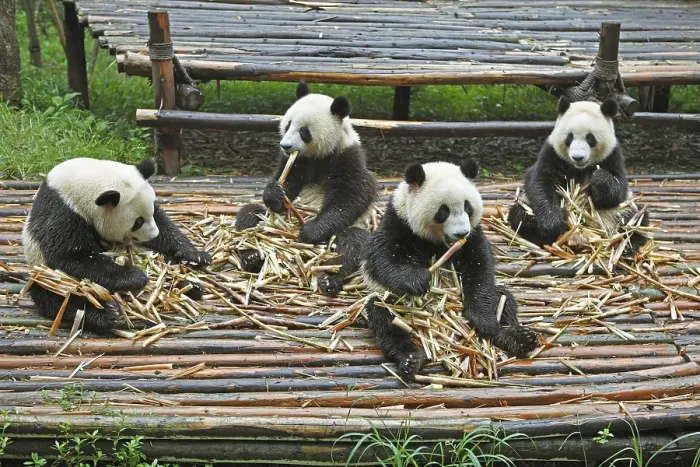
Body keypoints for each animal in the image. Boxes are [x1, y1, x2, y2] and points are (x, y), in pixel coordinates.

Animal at [22, 157, 211, 333]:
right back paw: (103, 314)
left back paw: (190, 287)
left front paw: (195, 255)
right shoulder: (65, 212)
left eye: (149, 212)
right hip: (45, 276)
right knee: (62, 298)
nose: (153, 235)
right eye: (138, 222)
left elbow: (164, 224)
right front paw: (134, 276)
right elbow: (69, 257)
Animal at [235, 81, 377, 297]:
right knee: (250, 214)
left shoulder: (347, 158)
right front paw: (275, 192)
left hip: (356, 230)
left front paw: (310, 232)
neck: (319, 156)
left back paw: (329, 278)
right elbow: (286, 184)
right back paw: (252, 256)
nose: (285, 145)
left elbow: (349, 198)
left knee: (352, 244)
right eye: (288, 124)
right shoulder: (297, 163)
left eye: (304, 131)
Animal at [361, 160, 539, 378]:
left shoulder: (474, 236)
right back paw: (410, 358)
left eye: (467, 207)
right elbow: (381, 258)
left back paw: (517, 338)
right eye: (443, 211)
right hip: (389, 301)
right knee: (383, 315)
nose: (461, 233)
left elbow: (480, 268)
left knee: (502, 299)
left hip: (498, 298)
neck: (438, 242)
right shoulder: (399, 223)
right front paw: (418, 280)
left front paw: (484, 320)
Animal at [507, 97, 649, 252]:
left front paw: (600, 179)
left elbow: (618, 190)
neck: (580, 168)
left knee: (637, 217)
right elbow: (540, 183)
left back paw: (630, 243)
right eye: (569, 137)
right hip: (527, 206)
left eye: (590, 138)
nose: (578, 157)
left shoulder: (613, 156)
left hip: (620, 211)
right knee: (520, 216)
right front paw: (553, 221)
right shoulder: (552, 153)